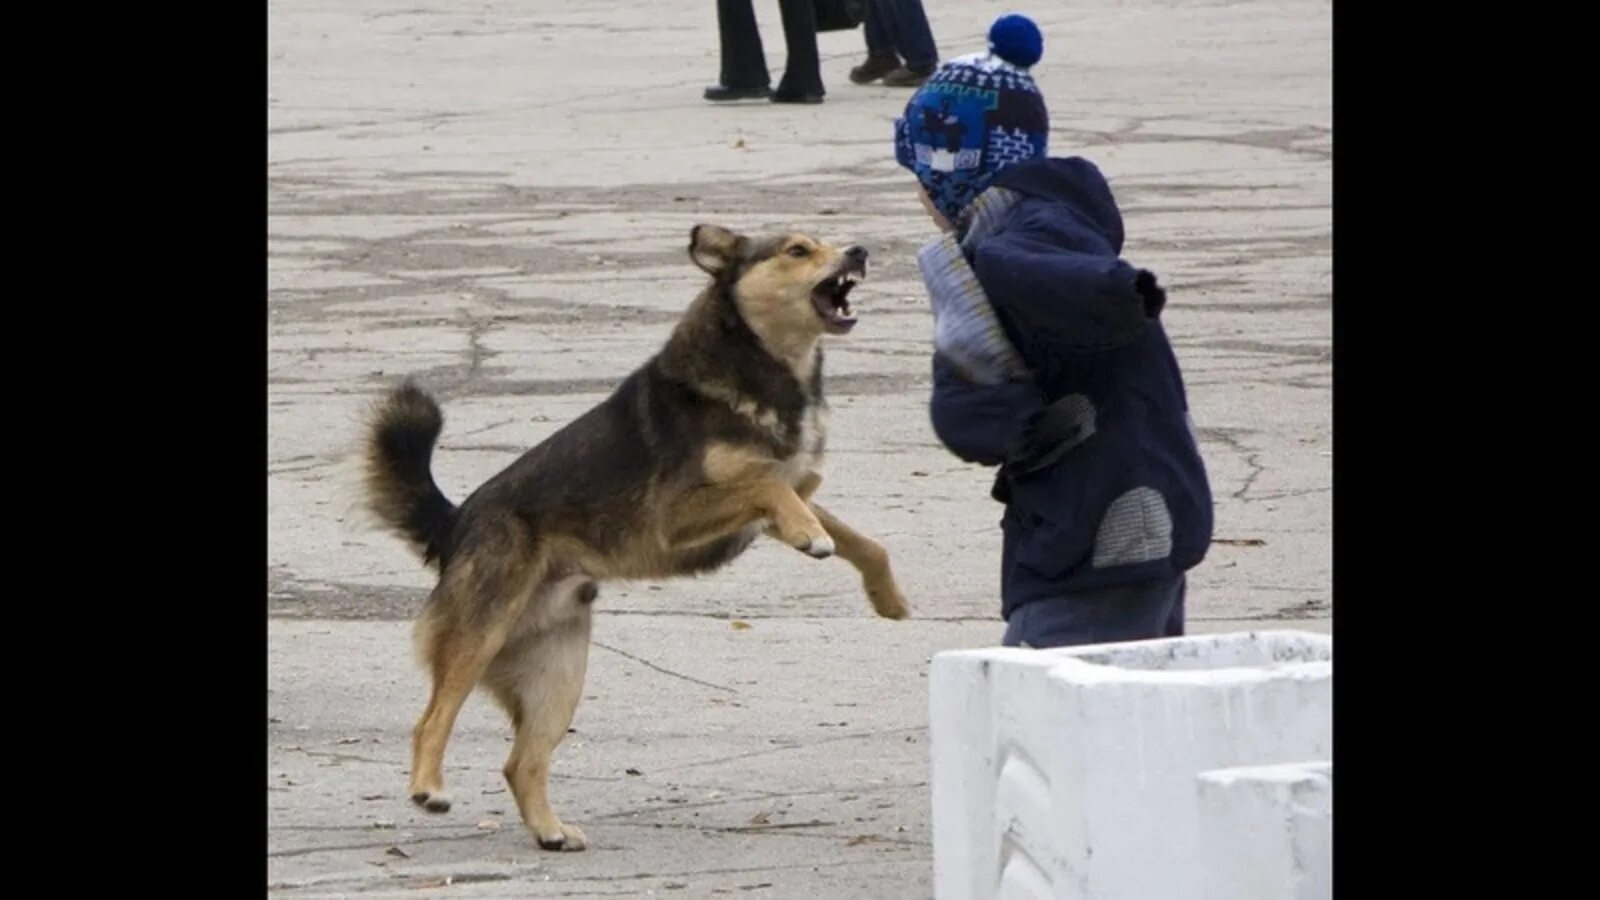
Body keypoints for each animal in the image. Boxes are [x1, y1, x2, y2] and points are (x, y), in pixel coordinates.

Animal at [366, 222, 915, 845]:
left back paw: (551, 831)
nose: (860, 251)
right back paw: (429, 788)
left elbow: (863, 540)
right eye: (797, 250)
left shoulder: (788, 498)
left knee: (520, 762)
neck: (766, 366)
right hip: (479, 633)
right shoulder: (676, 516)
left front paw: (887, 596)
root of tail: (456, 522)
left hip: (558, 672)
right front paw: (812, 538)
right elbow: (770, 487)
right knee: (432, 719)